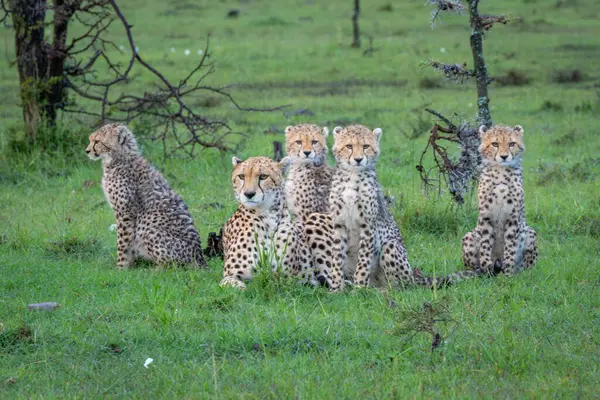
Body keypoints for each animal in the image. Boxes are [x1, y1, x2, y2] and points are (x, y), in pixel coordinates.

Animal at [85, 124, 205, 268]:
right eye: (91, 140)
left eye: (97, 141)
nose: (87, 151)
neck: (118, 158)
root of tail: (200, 257)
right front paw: (131, 264)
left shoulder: (126, 213)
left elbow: (123, 242)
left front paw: (120, 266)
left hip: (149, 230)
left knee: (172, 266)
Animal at [219, 156, 338, 290]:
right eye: (241, 176)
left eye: (263, 176)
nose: (249, 194)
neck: (268, 217)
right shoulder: (231, 275)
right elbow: (237, 286)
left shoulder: (285, 278)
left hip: (316, 217)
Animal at [328, 125, 478, 290]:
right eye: (349, 146)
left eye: (366, 146)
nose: (358, 159)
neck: (353, 175)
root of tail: (413, 275)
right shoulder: (339, 224)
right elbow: (336, 259)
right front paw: (336, 288)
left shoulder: (367, 226)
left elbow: (363, 260)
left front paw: (359, 288)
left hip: (391, 246)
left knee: (399, 286)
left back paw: (380, 290)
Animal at [462, 125, 536, 276]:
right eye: (495, 144)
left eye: (511, 143)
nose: (504, 156)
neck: (501, 171)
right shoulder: (486, 216)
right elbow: (485, 243)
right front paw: (486, 267)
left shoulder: (513, 218)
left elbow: (511, 246)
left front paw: (507, 272)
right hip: (469, 236)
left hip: (530, 232)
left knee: (527, 266)